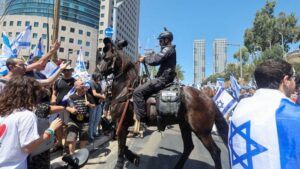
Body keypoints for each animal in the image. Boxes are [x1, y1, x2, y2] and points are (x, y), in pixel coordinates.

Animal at [97, 44, 229, 169]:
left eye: (106, 58)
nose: (96, 75)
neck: (125, 89)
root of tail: (209, 99)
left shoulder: (121, 124)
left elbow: (121, 146)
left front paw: (122, 163)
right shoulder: (120, 124)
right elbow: (122, 144)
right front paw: (134, 157)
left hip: (202, 131)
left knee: (215, 152)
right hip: (185, 126)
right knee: (188, 147)